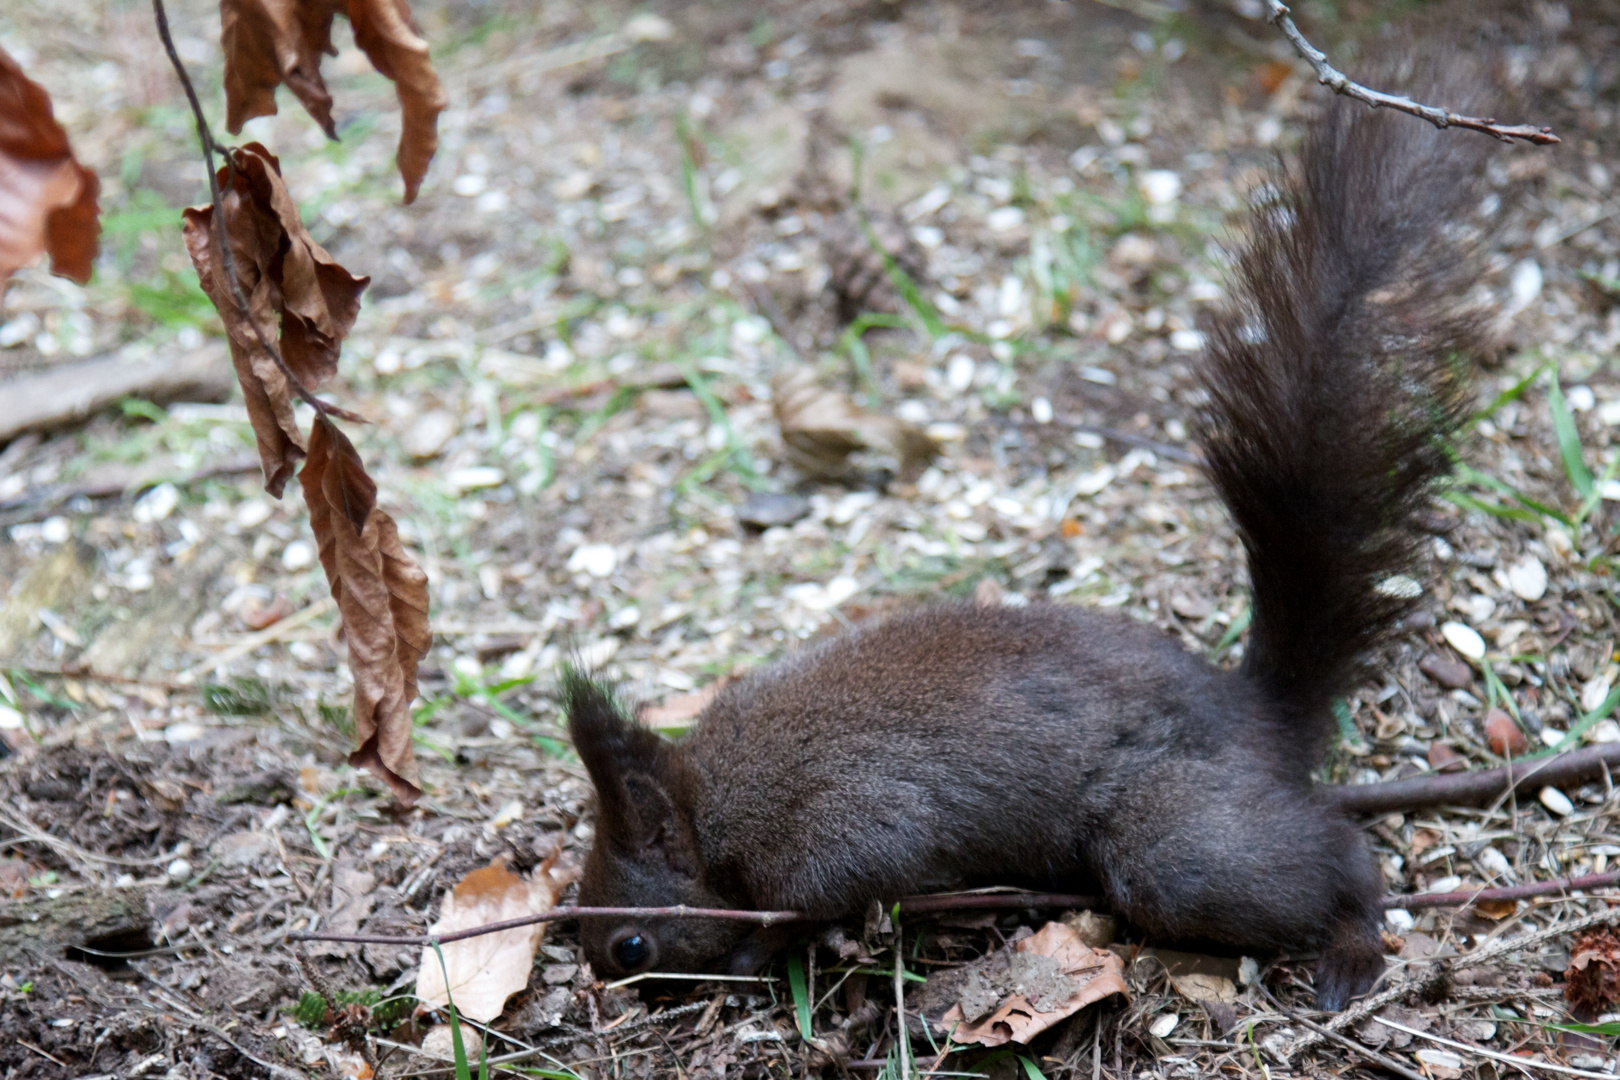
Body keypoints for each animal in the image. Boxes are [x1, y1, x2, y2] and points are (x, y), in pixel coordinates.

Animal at [567, 78, 1503, 1016]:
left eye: (630, 942)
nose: (604, 986)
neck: (707, 805)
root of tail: (1255, 715)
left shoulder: (832, 825)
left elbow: (833, 888)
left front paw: (755, 952)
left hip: (1176, 844)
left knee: (1331, 855)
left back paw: (1352, 940)